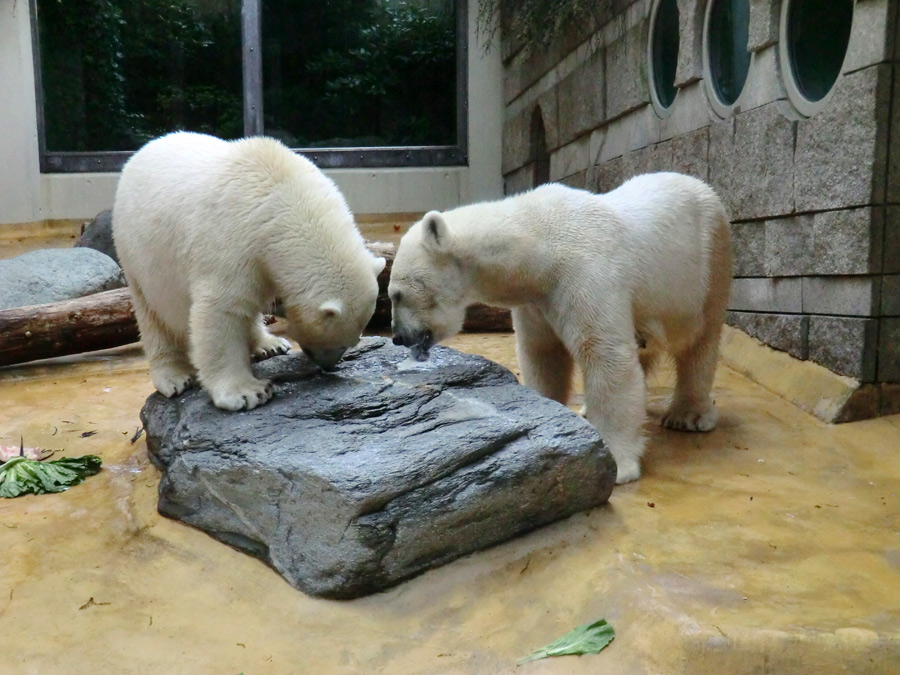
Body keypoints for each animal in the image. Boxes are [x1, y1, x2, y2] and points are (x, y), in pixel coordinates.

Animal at [112, 129, 384, 410]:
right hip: (138, 253)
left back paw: (270, 344)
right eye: (340, 342)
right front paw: (248, 393)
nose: (328, 365)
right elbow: (221, 310)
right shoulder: (230, 239)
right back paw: (174, 377)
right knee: (153, 315)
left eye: (353, 341)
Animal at [386, 172, 732, 484]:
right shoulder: (537, 301)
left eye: (396, 294)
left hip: (706, 268)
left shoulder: (585, 275)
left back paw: (687, 415)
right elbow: (544, 355)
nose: (398, 336)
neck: (540, 244)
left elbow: (605, 355)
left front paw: (616, 463)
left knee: (701, 342)